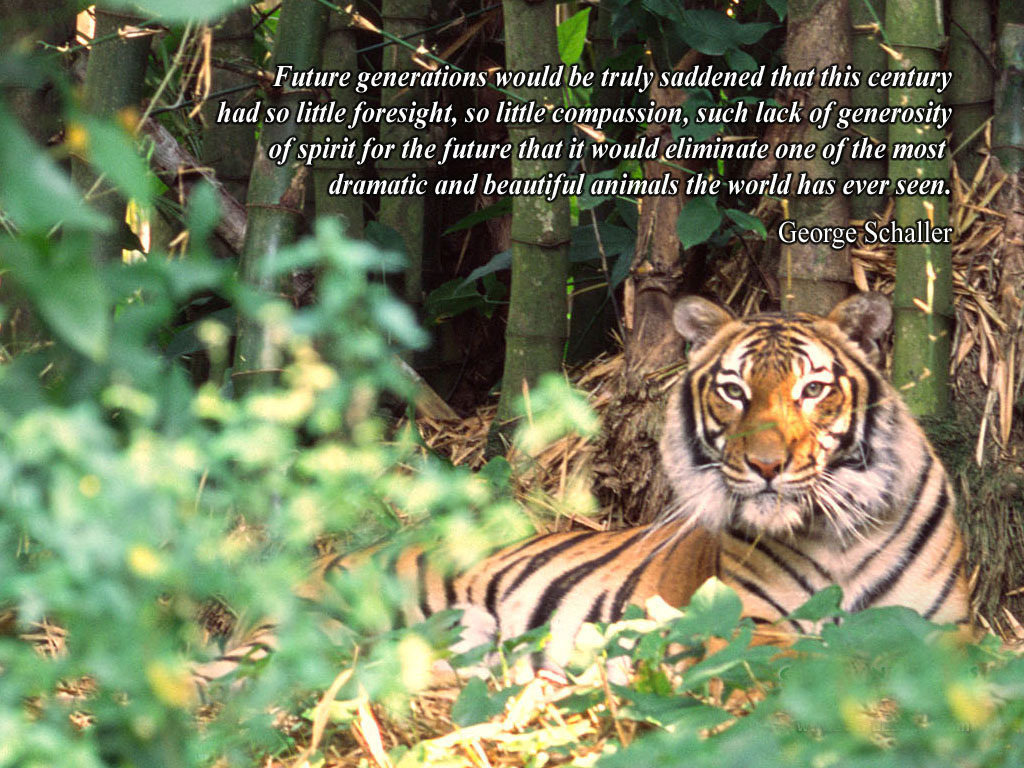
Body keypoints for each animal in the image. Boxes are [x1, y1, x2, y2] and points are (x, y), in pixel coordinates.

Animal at [193, 292, 972, 689]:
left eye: (813, 391)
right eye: (733, 391)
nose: (766, 466)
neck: (838, 533)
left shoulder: (949, 629)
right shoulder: (746, 625)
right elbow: (809, 660)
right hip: (308, 632)